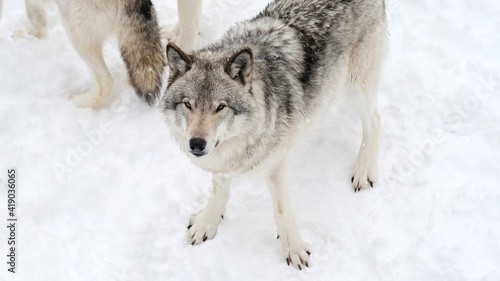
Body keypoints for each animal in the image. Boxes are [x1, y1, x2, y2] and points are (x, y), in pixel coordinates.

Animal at [162, 0, 388, 268]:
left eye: (220, 107)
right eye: (188, 105)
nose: (196, 144)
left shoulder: (277, 164)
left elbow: (281, 211)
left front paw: (293, 249)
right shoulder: (223, 164)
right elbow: (219, 192)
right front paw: (208, 222)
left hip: (355, 87)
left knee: (375, 120)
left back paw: (363, 171)